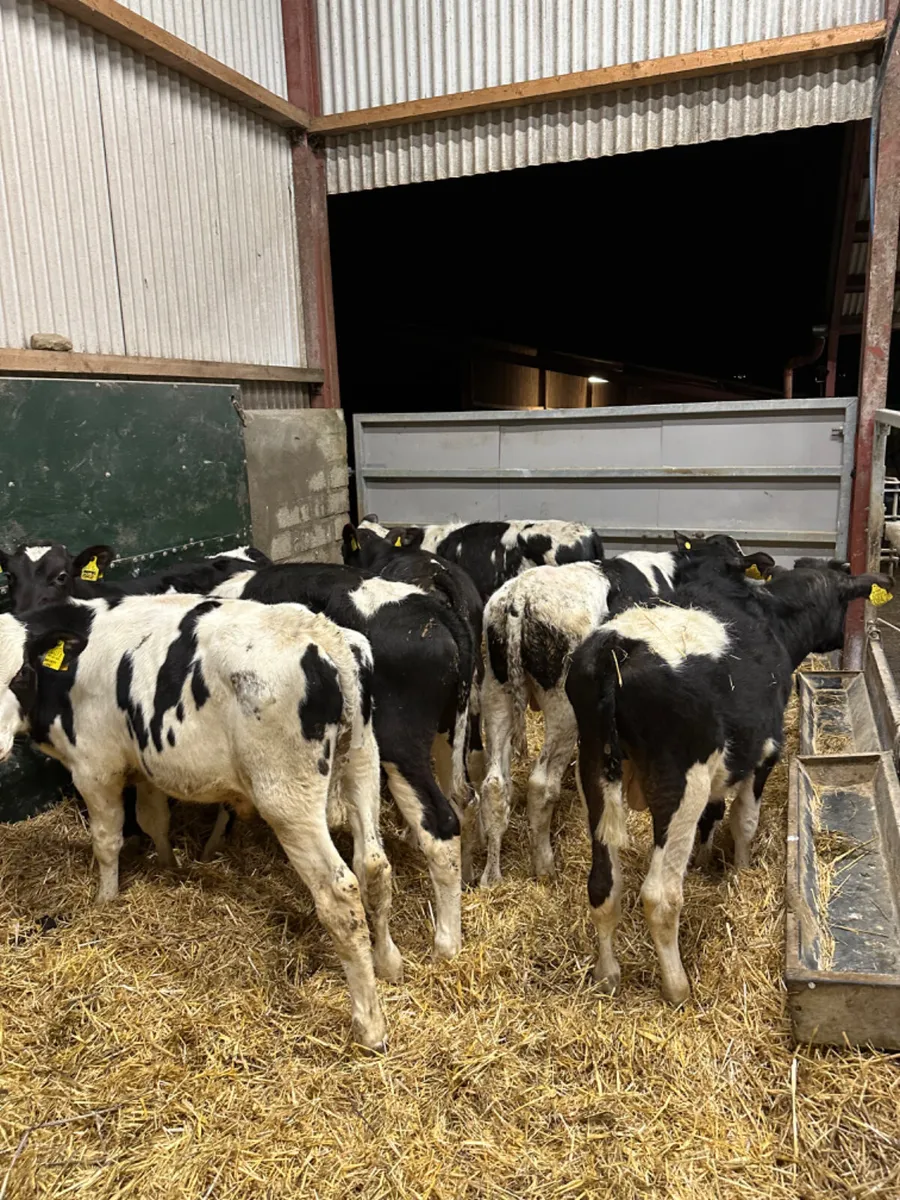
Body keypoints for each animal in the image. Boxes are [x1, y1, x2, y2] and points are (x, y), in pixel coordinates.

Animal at [0, 591, 397, 1049]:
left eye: (20, 673)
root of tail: (322, 635)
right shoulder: (147, 761)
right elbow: (153, 820)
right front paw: (170, 869)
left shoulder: (95, 768)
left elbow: (107, 840)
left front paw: (105, 900)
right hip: (363, 761)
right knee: (374, 866)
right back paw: (389, 964)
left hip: (289, 799)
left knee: (340, 894)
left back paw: (369, 1024)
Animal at [211, 562, 475, 959]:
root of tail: (432, 608)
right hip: (448, 732)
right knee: (460, 798)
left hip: (399, 742)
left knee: (440, 823)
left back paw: (446, 942)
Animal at [478, 534, 774, 885]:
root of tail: (519, 598)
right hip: (563, 708)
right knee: (541, 784)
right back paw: (545, 866)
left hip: (496, 691)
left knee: (495, 785)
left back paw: (491, 876)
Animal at [565, 555, 892, 1005]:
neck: (771, 614)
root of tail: (618, 647)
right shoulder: (765, 753)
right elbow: (744, 821)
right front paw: (741, 871)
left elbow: (714, 814)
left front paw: (704, 861)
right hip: (680, 781)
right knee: (660, 896)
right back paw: (677, 987)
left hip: (593, 769)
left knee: (603, 885)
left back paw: (607, 974)